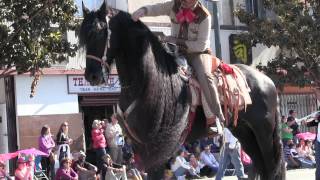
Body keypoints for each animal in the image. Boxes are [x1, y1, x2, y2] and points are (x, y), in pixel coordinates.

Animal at [79, 3, 284, 180]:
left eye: (100, 32)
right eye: (84, 37)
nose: (92, 76)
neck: (146, 83)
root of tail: (267, 80)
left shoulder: (158, 148)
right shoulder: (140, 146)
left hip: (263, 132)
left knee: (272, 166)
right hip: (244, 131)